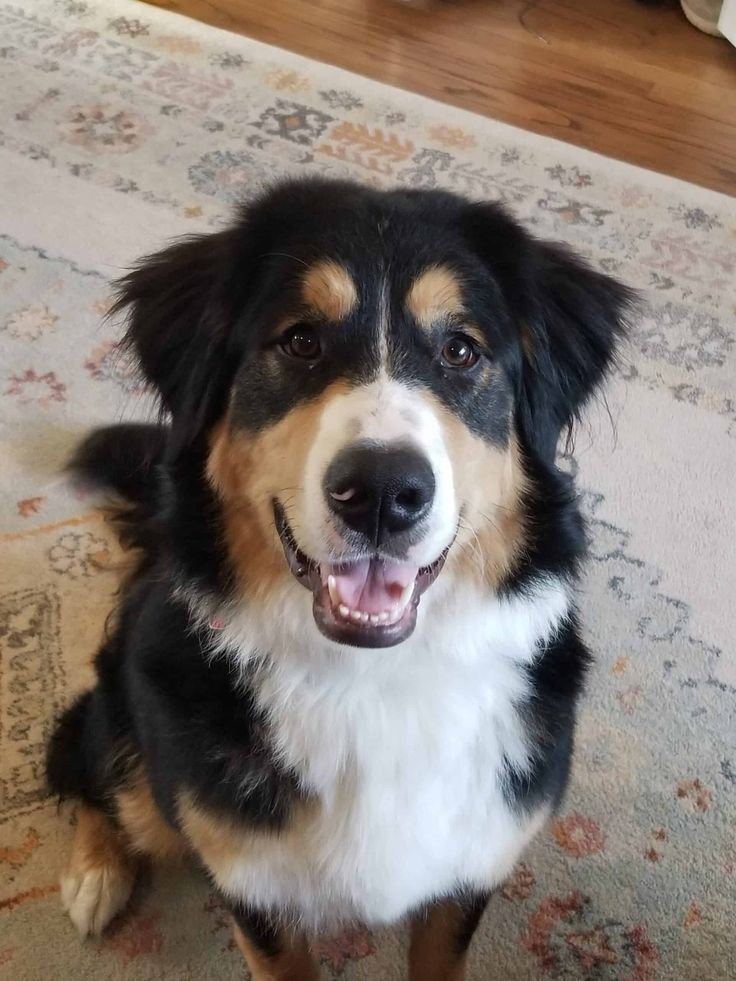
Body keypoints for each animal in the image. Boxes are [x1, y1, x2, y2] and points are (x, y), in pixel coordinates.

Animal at [46, 178, 632, 980]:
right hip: (134, 727)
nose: (382, 492)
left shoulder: (475, 862)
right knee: (95, 767)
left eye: (460, 350)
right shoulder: (253, 880)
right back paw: (95, 873)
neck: (374, 682)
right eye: (300, 340)